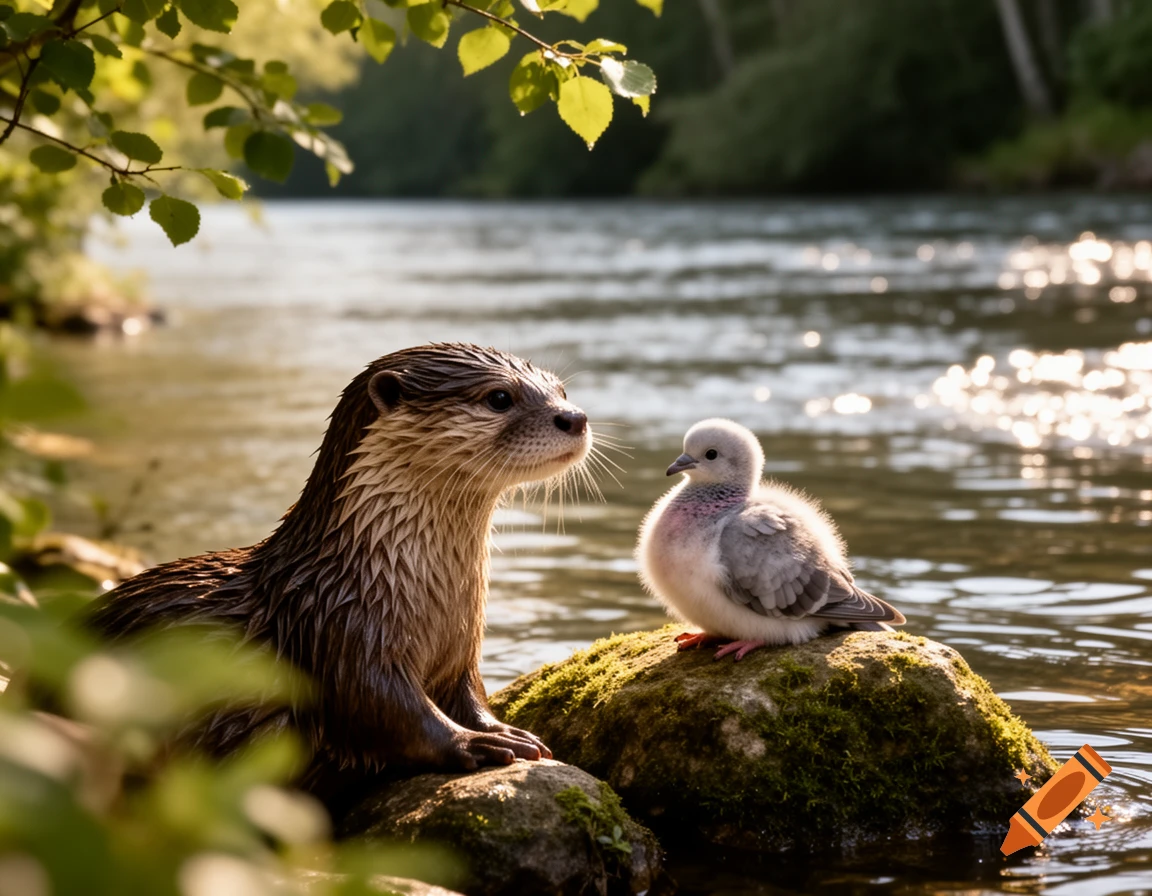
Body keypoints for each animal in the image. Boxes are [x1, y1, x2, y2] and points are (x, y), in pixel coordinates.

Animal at [87, 344, 591, 792]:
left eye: (562, 390)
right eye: (500, 397)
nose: (576, 417)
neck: (367, 574)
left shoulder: (459, 653)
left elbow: (468, 695)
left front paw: (503, 729)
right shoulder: (341, 636)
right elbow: (385, 712)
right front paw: (475, 744)